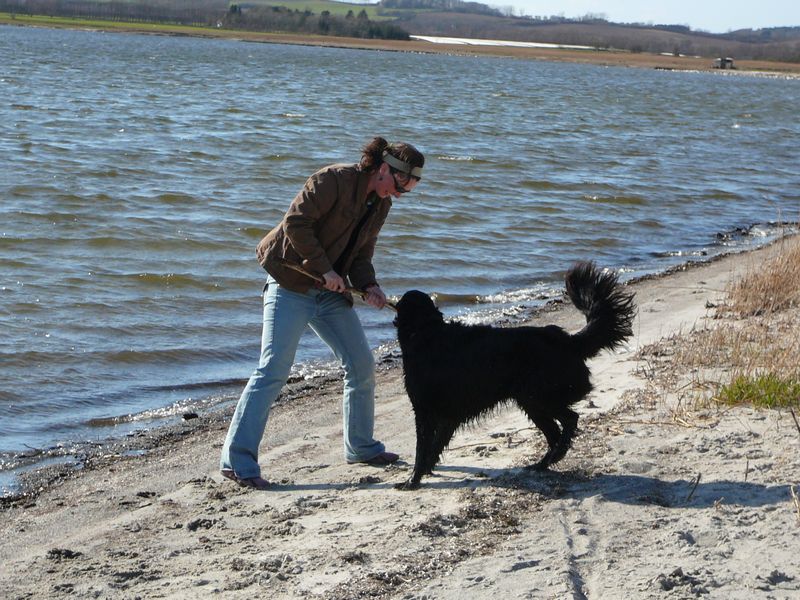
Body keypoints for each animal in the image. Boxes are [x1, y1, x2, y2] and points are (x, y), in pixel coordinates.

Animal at [396, 260, 636, 490]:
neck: (427, 332)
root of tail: (568, 341)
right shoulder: (449, 416)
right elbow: (435, 446)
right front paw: (425, 471)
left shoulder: (424, 410)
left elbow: (422, 449)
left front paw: (413, 480)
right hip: (533, 401)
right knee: (555, 433)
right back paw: (543, 463)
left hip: (537, 396)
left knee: (570, 419)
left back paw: (555, 456)